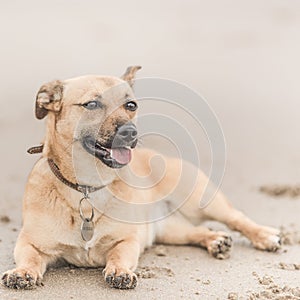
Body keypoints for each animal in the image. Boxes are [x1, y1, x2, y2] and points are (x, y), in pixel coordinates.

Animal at [1, 67, 282, 290]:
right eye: (91, 104)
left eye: (131, 105)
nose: (130, 131)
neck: (88, 187)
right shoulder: (30, 243)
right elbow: (29, 257)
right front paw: (22, 272)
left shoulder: (127, 240)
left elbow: (119, 254)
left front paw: (119, 271)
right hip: (171, 230)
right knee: (198, 231)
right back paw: (215, 240)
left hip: (201, 202)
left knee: (237, 218)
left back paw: (265, 236)